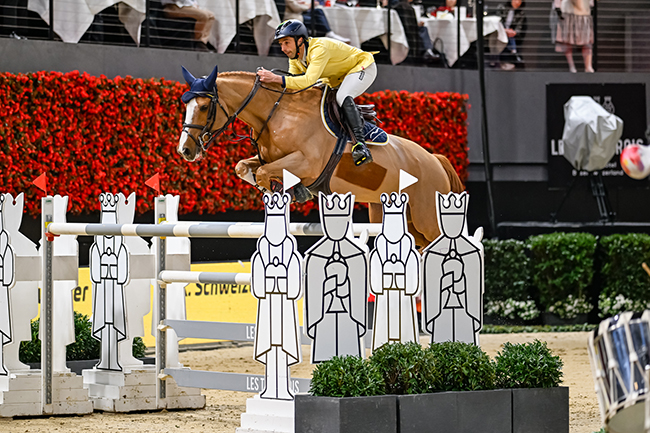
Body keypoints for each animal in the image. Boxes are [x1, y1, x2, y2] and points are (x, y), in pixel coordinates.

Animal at [175, 64, 464, 246]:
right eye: (185, 105)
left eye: (203, 107)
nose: (185, 150)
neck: (277, 114)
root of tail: (435, 160)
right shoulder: (270, 158)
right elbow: (244, 167)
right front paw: (281, 191)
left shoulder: (306, 163)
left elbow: (265, 173)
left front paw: (289, 191)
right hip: (393, 216)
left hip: (427, 217)